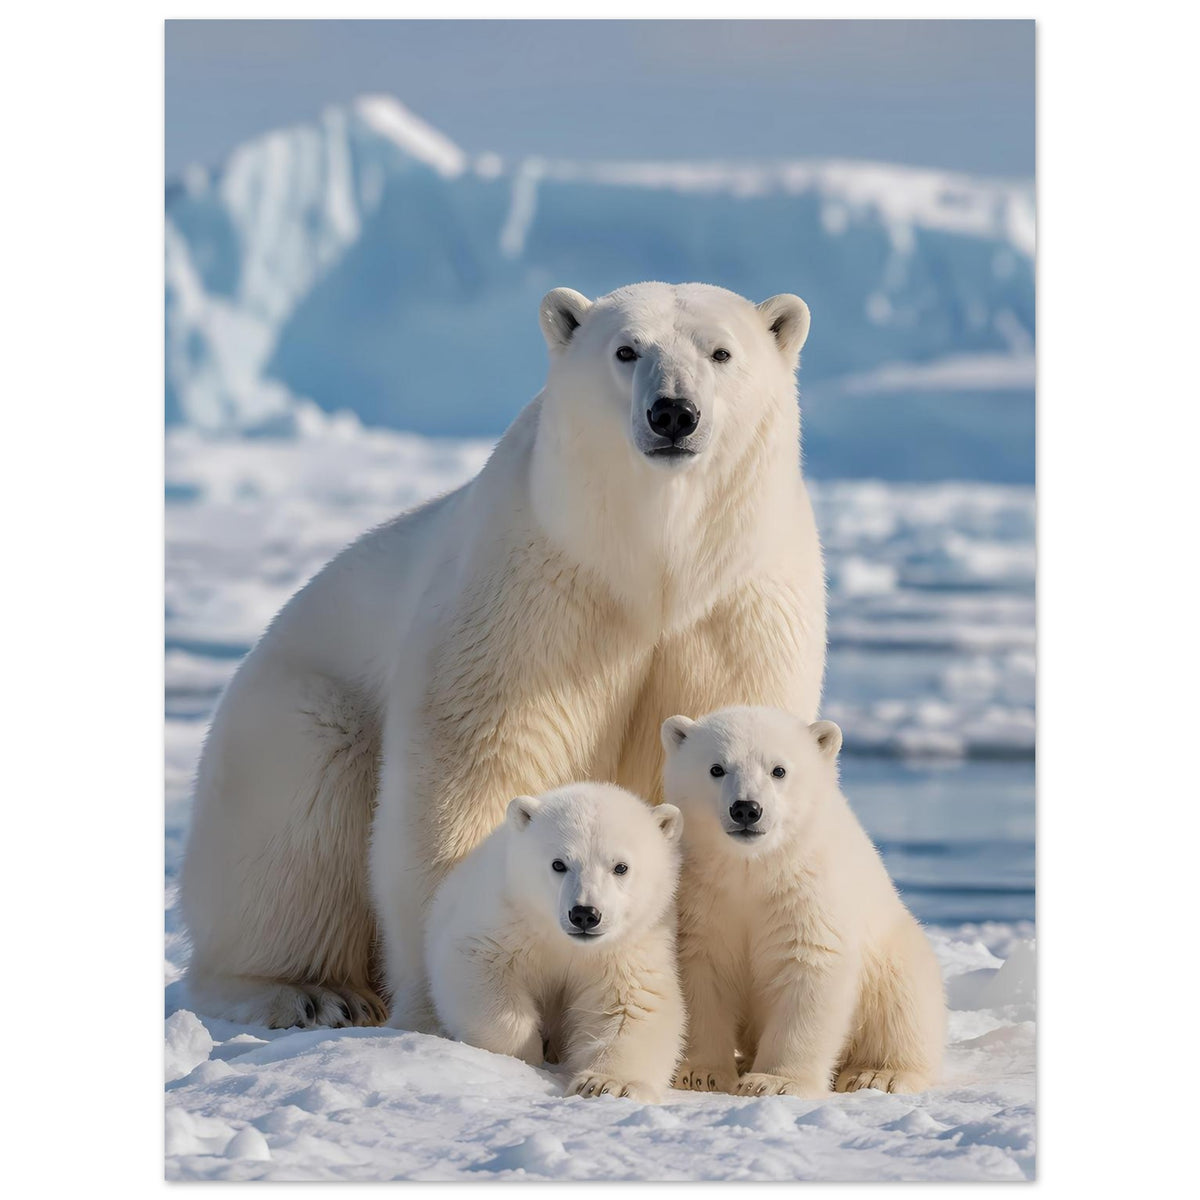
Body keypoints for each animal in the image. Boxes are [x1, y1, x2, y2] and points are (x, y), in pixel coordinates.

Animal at [180, 281, 827, 1032]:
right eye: (626, 349)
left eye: (720, 352)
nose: (673, 412)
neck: (652, 567)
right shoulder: (532, 594)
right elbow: (478, 763)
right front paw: (450, 1004)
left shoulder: (738, 611)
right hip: (283, 716)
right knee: (299, 809)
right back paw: (311, 992)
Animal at [424, 782, 686, 1102]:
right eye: (559, 864)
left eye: (621, 867)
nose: (585, 914)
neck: (565, 943)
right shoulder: (505, 921)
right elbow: (480, 969)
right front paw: (524, 1055)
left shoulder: (628, 949)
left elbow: (633, 1006)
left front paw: (604, 1084)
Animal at [660, 706, 945, 1097]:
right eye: (716, 768)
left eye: (778, 769)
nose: (746, 809)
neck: (753, 868)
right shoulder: (702, 897)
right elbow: (702, 974)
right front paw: (701, 1073)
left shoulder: (809, 892)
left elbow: (809, 965)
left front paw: (775, 1081)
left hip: (895, 953)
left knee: (904, 1003)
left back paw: (878, 1074)